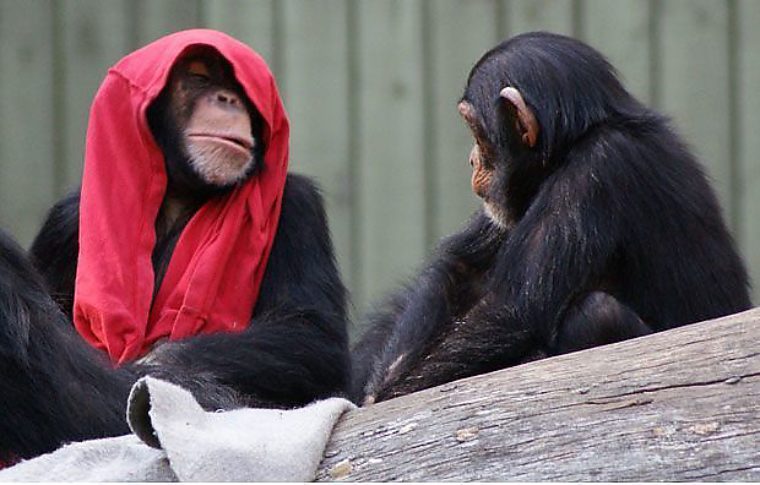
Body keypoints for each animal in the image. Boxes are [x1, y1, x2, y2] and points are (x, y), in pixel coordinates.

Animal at [0, 30, 350, 462]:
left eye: (240, 91)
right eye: (199, 78)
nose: (228, 98)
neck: (180, 195)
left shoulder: (295, 204)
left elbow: (312, 335)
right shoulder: (64, 223)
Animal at [352, 31, 756, 404]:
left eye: (476, 132)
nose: (471, 159)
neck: (575, 139)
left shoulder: (597, 169)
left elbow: (514, 308)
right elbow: (464, 265)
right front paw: (379, 386)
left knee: (595, 312)